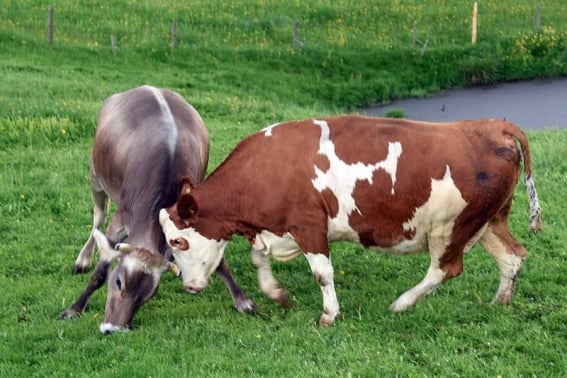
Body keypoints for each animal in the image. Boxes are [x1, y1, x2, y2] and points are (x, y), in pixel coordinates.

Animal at [59, 85, 253, 334]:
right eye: (118, 282)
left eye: (149, 295)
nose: (113, 328)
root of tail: (147, 87)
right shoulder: (121, 218)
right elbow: (101, 269)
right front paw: (74, 308)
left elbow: (219, 262)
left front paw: (243, 301)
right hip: (96, 176)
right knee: (98, 217)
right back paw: (83, 259)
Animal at [159, 116, 540, 326]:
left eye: (178, 241)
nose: (189, 287)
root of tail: (494, 126)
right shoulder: (273, 228)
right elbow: (258, 259)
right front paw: (276, 292)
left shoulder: (309, 225)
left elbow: (322, 274)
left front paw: (329, 314)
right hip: (490, 220)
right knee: (513, 256)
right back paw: (500, 302)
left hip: (451, 227)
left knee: (446, 269)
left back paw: (401, 303)